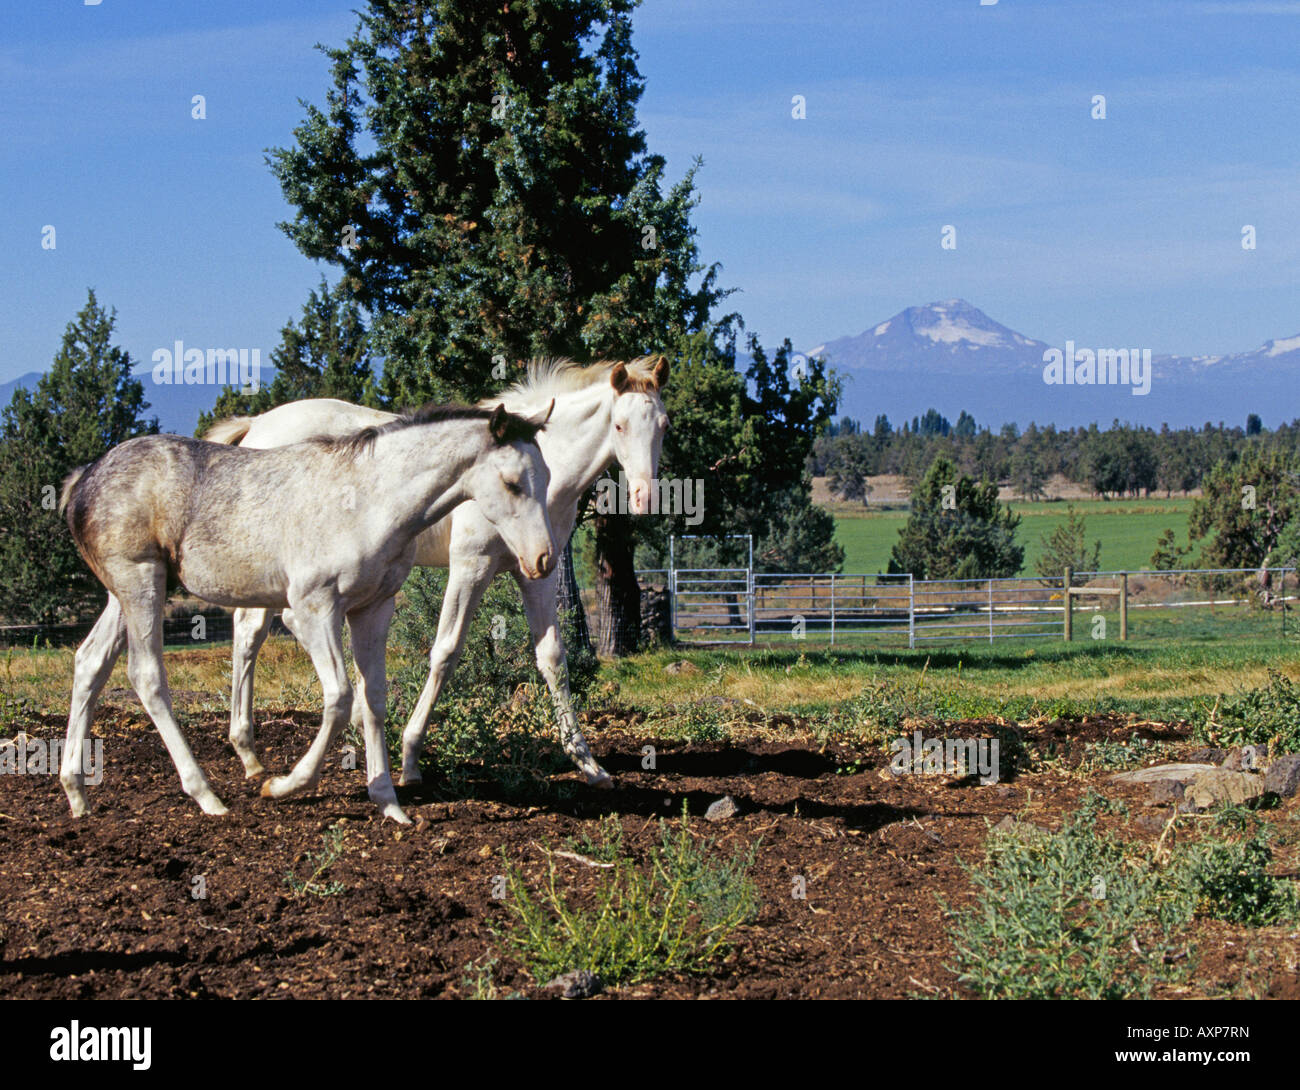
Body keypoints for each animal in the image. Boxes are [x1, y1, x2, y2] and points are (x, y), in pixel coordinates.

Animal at [57, 403, 553, 827]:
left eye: (547, 477)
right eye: (512, 482)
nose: (543, 560)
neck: (368, 502)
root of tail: (82, 479)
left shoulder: (374, 607)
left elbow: (373, 697)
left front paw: (389, 803)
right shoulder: (315, 606)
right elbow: (339, 697)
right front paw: (284, 786)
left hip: (125, 592)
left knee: (89, 661)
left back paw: (77, 794)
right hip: (141, 581)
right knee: (146, 676)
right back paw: (207, 795)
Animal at [210, 358, 670, 796]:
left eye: (663, 425)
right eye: (619, 425)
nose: (645, 498)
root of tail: (257, 425)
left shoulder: (538, 571)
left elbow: (553, 658)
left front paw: (589, 765)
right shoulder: (471, 565)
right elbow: (446, 651)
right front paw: (411, 759)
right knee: (252, 632)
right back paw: (252, 751)